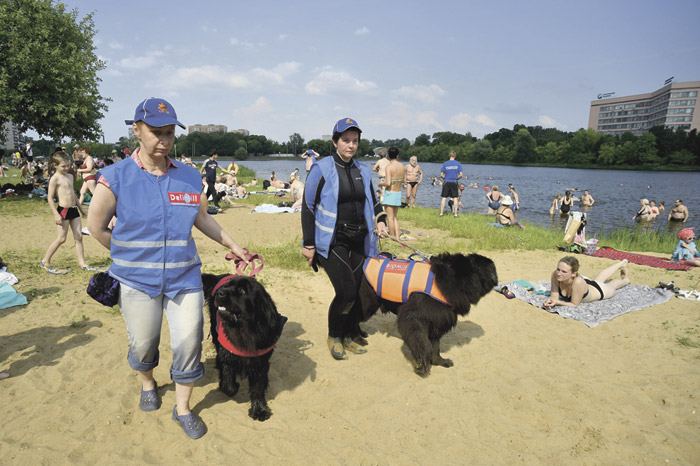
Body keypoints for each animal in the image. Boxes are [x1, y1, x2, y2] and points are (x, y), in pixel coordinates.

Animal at [360, 253, 498, 376]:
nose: (496, 280)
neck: (456, 279)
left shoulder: (437, 322)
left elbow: (435, 346)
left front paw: (439, 361)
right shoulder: (413, 319)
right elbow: (422, 343)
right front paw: (423, 365)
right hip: (367, 304)